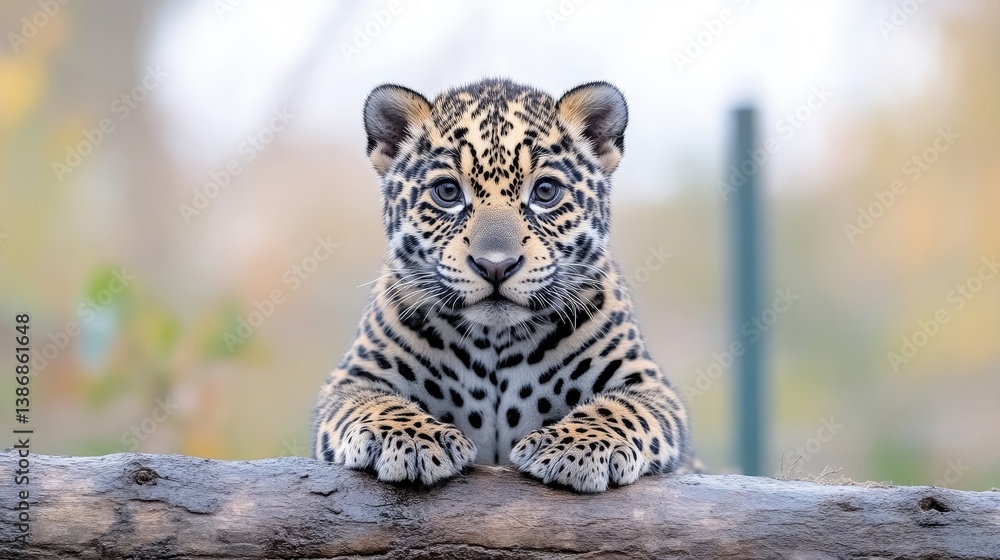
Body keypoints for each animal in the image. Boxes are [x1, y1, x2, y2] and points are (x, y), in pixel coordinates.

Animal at [312, 78, 693, 493]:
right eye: (448, 192)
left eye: (546, 192)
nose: (496, 266)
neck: (495, 342)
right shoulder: (353, 380)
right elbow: (372, 403)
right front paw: (411, 438)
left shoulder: (650, 387)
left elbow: (621, 407)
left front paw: (577, 446)